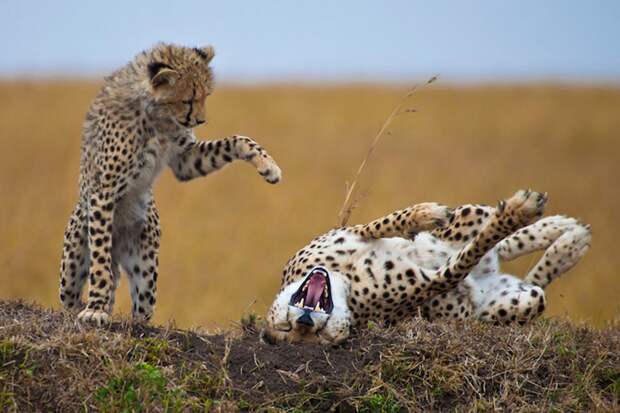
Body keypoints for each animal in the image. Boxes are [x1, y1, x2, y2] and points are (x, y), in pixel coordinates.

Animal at [58, 43, 280, 324]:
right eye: (187, 99)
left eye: (206, 95)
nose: (200, 120)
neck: (157, 116)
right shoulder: (103, 191)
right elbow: (99, 262)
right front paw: (95, 309)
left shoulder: (185, 159)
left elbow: (237, 140)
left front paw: (268, 165)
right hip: (73, 259)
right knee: (72, 295)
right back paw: (88, 306)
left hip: (145, 268)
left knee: (143, 307)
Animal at [262, 191, 592, 344]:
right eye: (288, 330)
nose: (305, 321)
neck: (343, 279)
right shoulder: (430, 283)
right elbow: (462, 262)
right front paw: (516, 213)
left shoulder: (355, 231)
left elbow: (388, 222)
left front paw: (423, 214)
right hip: (520, 301)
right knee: (527, 279)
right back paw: (565, 244)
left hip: (467, 217)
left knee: (492, 236)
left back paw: (561, 231)